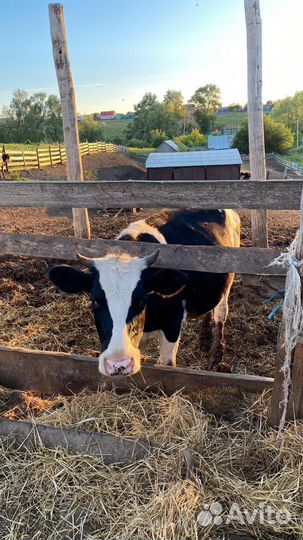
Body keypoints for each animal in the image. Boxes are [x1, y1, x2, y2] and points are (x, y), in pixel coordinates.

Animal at [48, 209, 241, 378]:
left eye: (141, 300)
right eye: (95, 301)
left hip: (227, 284)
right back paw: (203, 339)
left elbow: (166, 365)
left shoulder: (173, 325)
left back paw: (216, 357)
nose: (118, 364)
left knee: (220, 316)